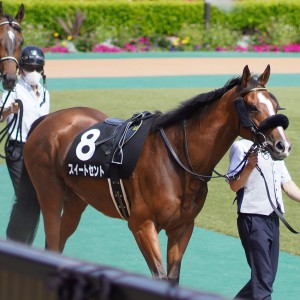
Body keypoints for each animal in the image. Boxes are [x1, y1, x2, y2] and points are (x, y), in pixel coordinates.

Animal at [19, 65, 290, 284]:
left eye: (276, 105)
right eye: (252, 107)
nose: (282, 146)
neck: (177, 158)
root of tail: (47, 119)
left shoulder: (182, 227)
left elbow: (172, 277)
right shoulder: (142, 225)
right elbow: (158, 277)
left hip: (77, 200)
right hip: (50, 194)